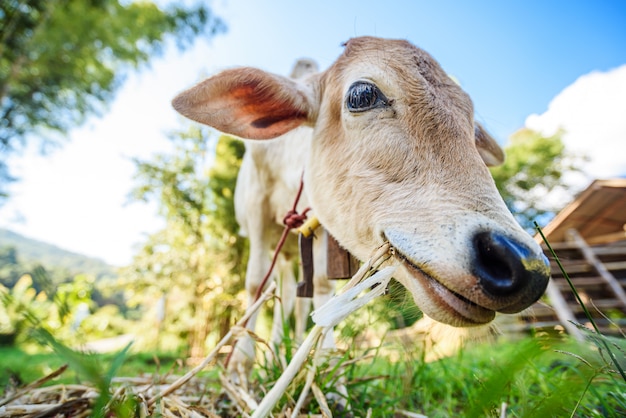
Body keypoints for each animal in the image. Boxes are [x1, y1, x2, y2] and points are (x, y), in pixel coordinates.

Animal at [171, 36, 544, 376]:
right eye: (362, 95)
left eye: (473, 130)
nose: (523, 262)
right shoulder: (257, 214)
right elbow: (253, 285)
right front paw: (240, 366)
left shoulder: (318, 225)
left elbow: (322, 288)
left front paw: (327, 368)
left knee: (295, 300)